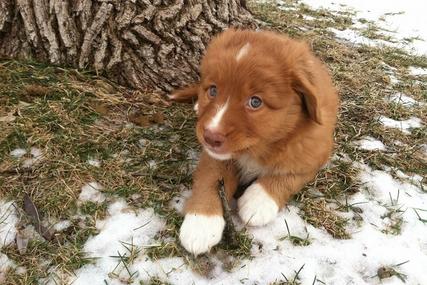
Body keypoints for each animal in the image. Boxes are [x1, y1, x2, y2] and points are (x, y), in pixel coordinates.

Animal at [169, 28, 340, 255]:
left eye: (255, 102)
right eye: (213, 90)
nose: (210, 136)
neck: (258, 148)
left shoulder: (314, 152)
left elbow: (288, 175)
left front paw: (258, 201)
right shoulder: (213, 156)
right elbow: (210, 179)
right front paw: (201, 223)